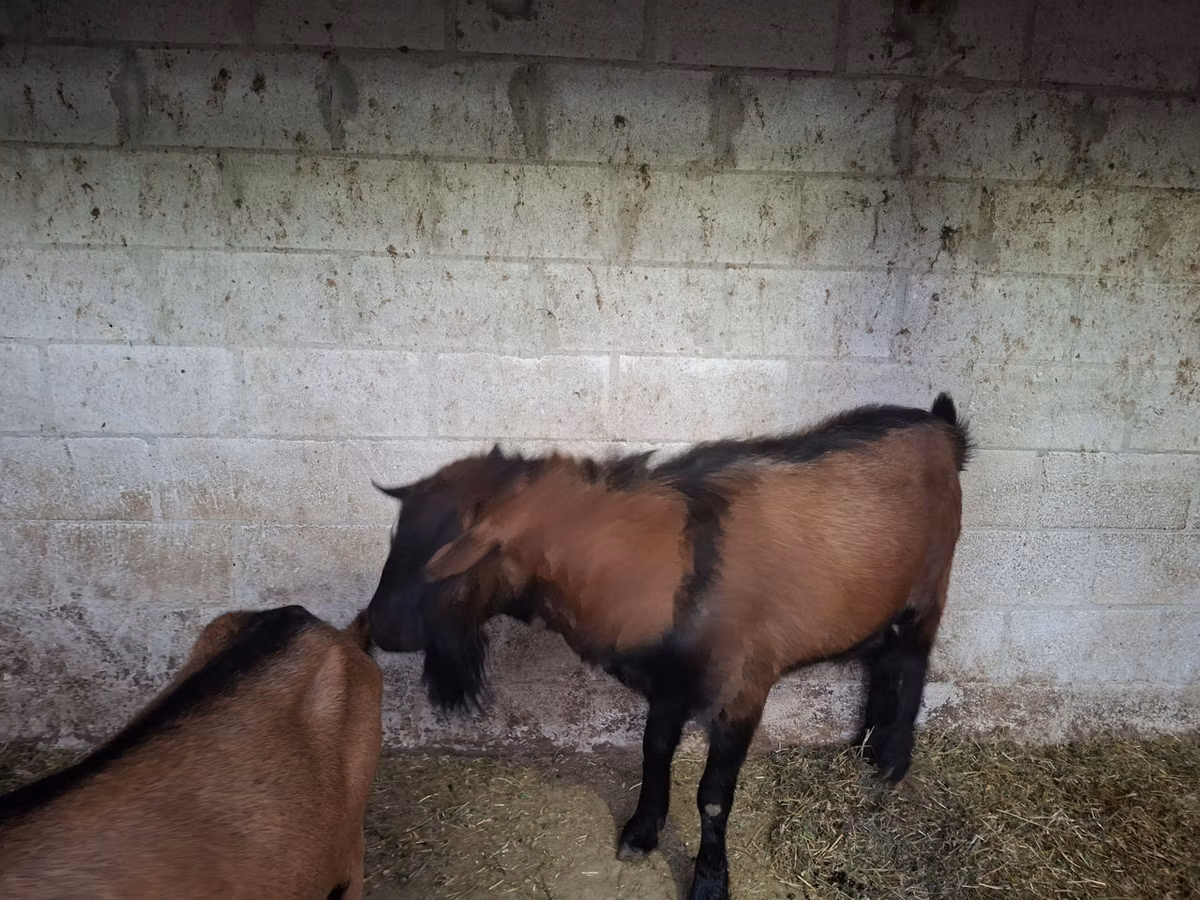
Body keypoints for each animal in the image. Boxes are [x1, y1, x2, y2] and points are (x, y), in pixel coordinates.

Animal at [367, 394, 971, 900]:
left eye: (450, 564)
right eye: (396, 538)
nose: (375, 628)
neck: (674, 560)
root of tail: (941, 426)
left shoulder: (743, 691)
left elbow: (713, 794)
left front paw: (709, 882)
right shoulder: (668, 683)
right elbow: (653, 751)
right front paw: (640, 833)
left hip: (931, 588)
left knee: (913, 662)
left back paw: (892, 763)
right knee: (884, 659)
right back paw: (867, 747)